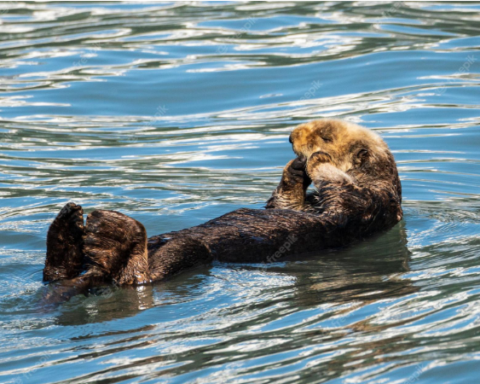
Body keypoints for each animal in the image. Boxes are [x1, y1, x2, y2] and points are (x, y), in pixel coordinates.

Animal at [41, 118, 404, 298]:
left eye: (326, 135)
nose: (291, 137)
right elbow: (285, 201)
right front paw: (295, 169)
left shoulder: (368, 202)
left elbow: (340, 189)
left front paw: (316, 159)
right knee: (57, 276)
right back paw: (68, 225)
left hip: (186, 253)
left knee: (137, 276)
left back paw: (111, 232)